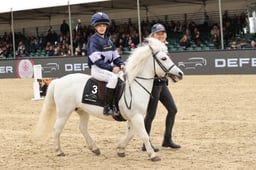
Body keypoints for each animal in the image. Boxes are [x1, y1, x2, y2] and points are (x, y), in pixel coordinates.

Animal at [34, 37, 184, 162]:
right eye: (164, 58)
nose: (180, 74)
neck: (135, 85)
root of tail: (59, 81)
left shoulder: (134, 117)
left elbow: (131, 134)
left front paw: (121, 149)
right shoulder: (136, 116)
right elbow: (144, 134)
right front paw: (153, 155)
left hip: (82, 111)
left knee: (82, 128)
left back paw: (94, 148)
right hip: (64, 112)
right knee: (57, 129)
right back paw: (59, 151)